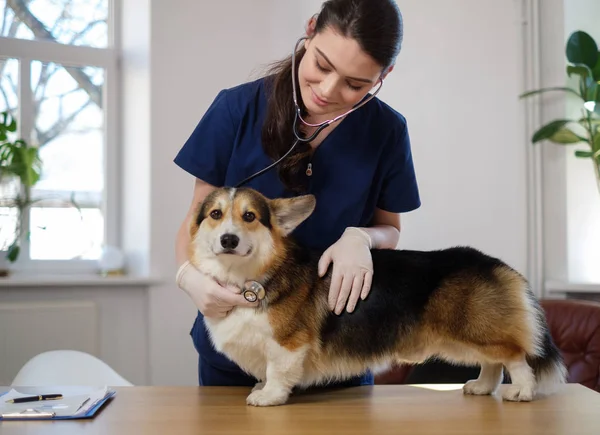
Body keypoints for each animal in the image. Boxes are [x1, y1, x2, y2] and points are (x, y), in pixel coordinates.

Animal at [188, 187, 568, 408]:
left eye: (250, 216)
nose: (228, 240)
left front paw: (267, 396)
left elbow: (279, 372)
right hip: (464, 337)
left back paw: (522, 391)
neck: (249, 275)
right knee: (492, 361)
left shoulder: (288, 344)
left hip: (474, 329)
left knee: (514, 356)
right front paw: (260, 387)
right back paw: (481, 387)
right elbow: (266, 371)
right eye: (216, 215)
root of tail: (496, 263)